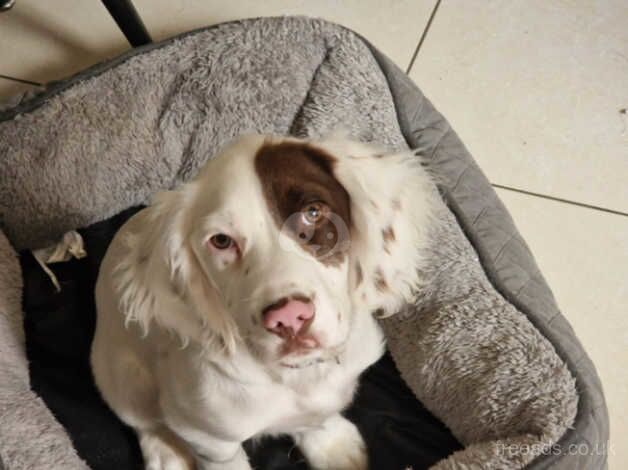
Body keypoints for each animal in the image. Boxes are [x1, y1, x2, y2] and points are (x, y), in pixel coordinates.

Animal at [91, 134, 434, 468]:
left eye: (313, 212)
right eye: (221, 241)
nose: (289, 318)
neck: (297, 377)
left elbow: (315, 417)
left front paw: (330, 444)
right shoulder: (206, 437)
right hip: (120, 376)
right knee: (144, 421)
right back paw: (165, 454)